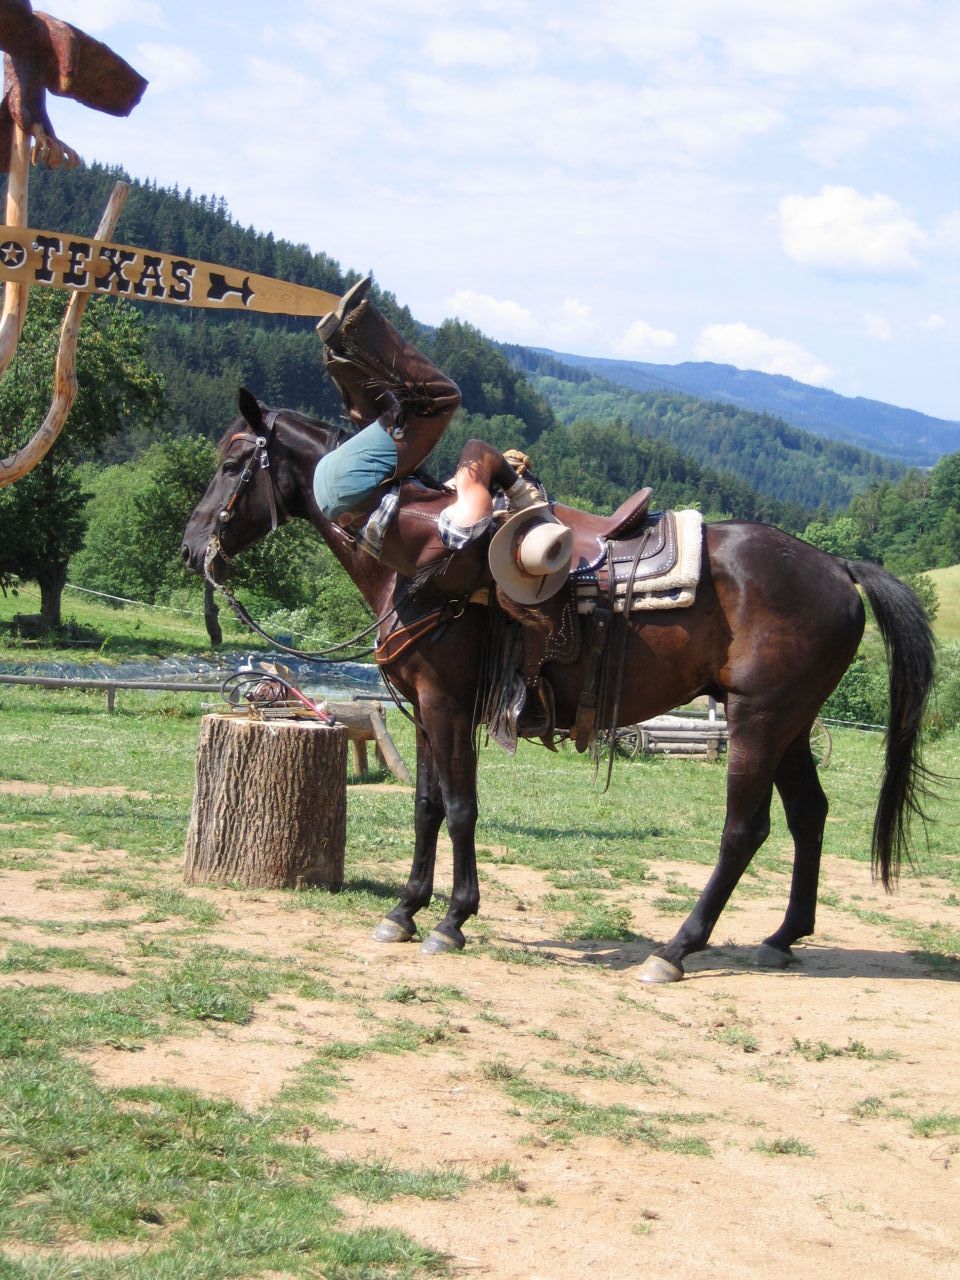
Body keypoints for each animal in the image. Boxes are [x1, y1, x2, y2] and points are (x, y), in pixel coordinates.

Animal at [181, 390, 935, 982]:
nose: (192, 549)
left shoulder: (449, 705)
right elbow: (425, 806)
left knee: (744, 830)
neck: (413, 556)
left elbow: (460, 807)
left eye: (232, 464)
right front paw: (404, 910)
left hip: (759, 720)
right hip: (792, 723)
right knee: (810, 813)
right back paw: (781, 938)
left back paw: (675, 951)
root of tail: (838, 568)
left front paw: (452, 920)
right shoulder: (422, 708)